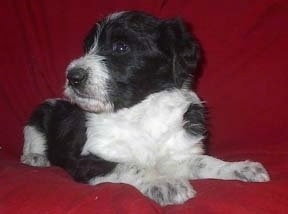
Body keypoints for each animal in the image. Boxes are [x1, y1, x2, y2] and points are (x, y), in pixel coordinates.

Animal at [20, 11, 270, 206]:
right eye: (88, 47)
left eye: (121, 47)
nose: (72, 76)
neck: (139, 113)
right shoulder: (86, 162)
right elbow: (131, 166)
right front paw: (163, 183)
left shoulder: (176, 155)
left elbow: (204, 162)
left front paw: (241, 168)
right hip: (41, 112)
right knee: (32, 138)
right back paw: (35, 157)